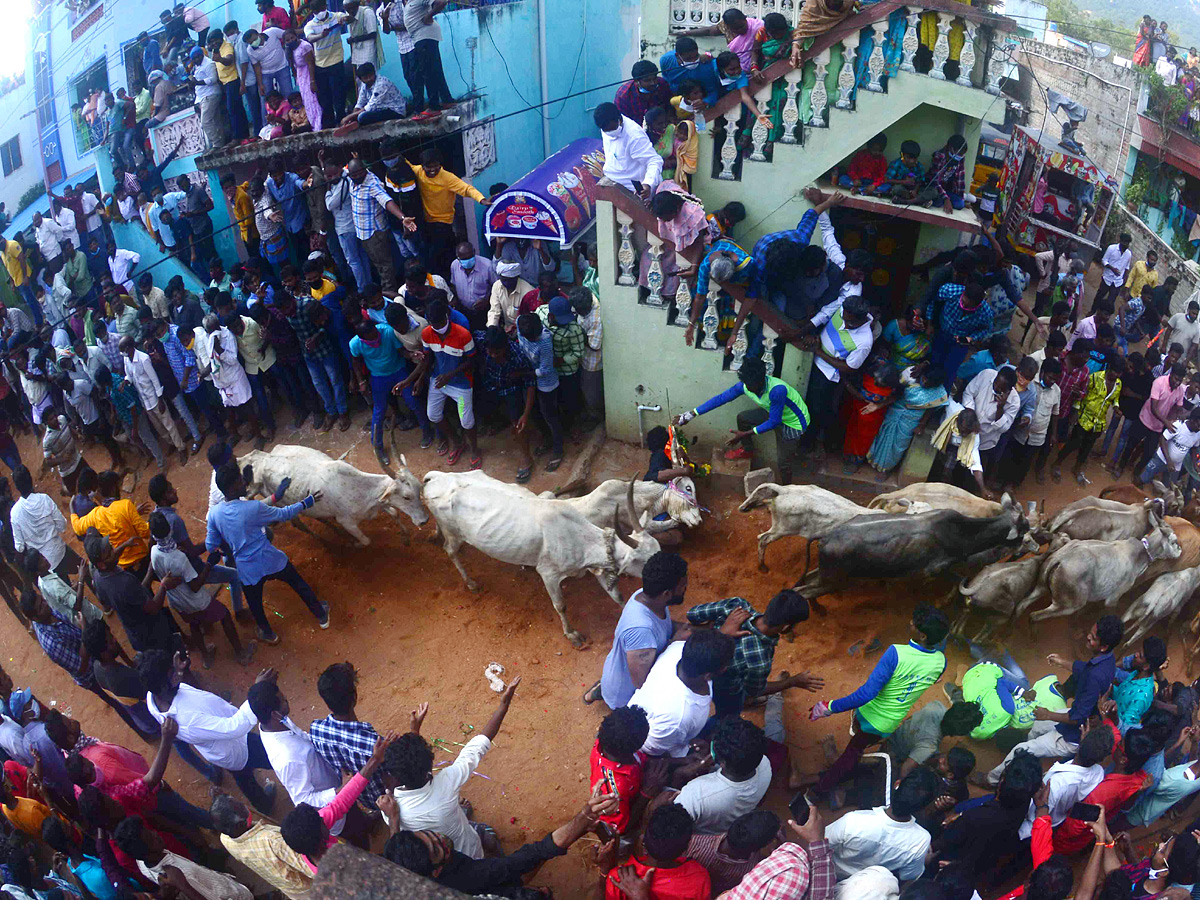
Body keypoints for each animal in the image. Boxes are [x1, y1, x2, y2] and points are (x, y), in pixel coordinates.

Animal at [236, 446, 429, 549]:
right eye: (406, 497)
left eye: (419, 489)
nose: (424, 520)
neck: (359, 488)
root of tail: (260, 458)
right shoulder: (348, 522)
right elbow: (366, 540)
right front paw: (354, 544)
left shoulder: (378, 504)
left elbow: (395, 513)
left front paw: (405, 538)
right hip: (278, 504)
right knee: (299, 523)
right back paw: (324, 541)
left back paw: (333, 529)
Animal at [422, 472, 662, 648]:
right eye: (646, 563)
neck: (576, 533)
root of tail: (434, 478)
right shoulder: (548, 574)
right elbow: (560, 605)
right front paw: (572, 634)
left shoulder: (598, 568)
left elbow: (617, 596)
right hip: (453, 533)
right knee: (450, 551)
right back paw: (470, 583)